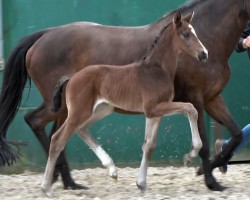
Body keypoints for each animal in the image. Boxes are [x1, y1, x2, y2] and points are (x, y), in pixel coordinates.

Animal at [41, 11, 207, 197]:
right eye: (186, 34)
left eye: (194, 32)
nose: (204, 54)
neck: (157, 70)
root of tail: (71, 78)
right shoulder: (153, 108)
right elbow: (191, 109)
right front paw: (190, 155)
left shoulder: (154, 113)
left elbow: (149, 146)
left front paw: (141, 184)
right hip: (79, 112)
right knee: (57, 139)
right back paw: (46, 188)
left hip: (101, 110)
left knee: (81, 130)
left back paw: (112, 170)